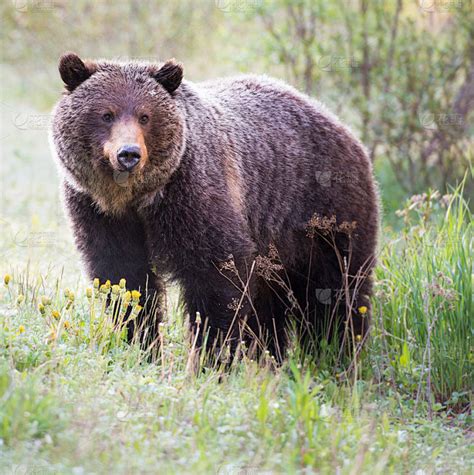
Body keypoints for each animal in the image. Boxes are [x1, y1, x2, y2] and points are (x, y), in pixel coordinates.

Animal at [51, 52, 378, 360]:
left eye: (145, 116)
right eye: (107, 114)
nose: (128, 154)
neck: (135, 199)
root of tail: (343, 128)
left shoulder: (195, 194)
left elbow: (217, 276)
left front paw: (210, 355)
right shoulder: (98, 212)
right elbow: (125, 278)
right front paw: (142, 345)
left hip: (325, 214)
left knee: (337, 291)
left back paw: (336, 354)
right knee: (271, 307)